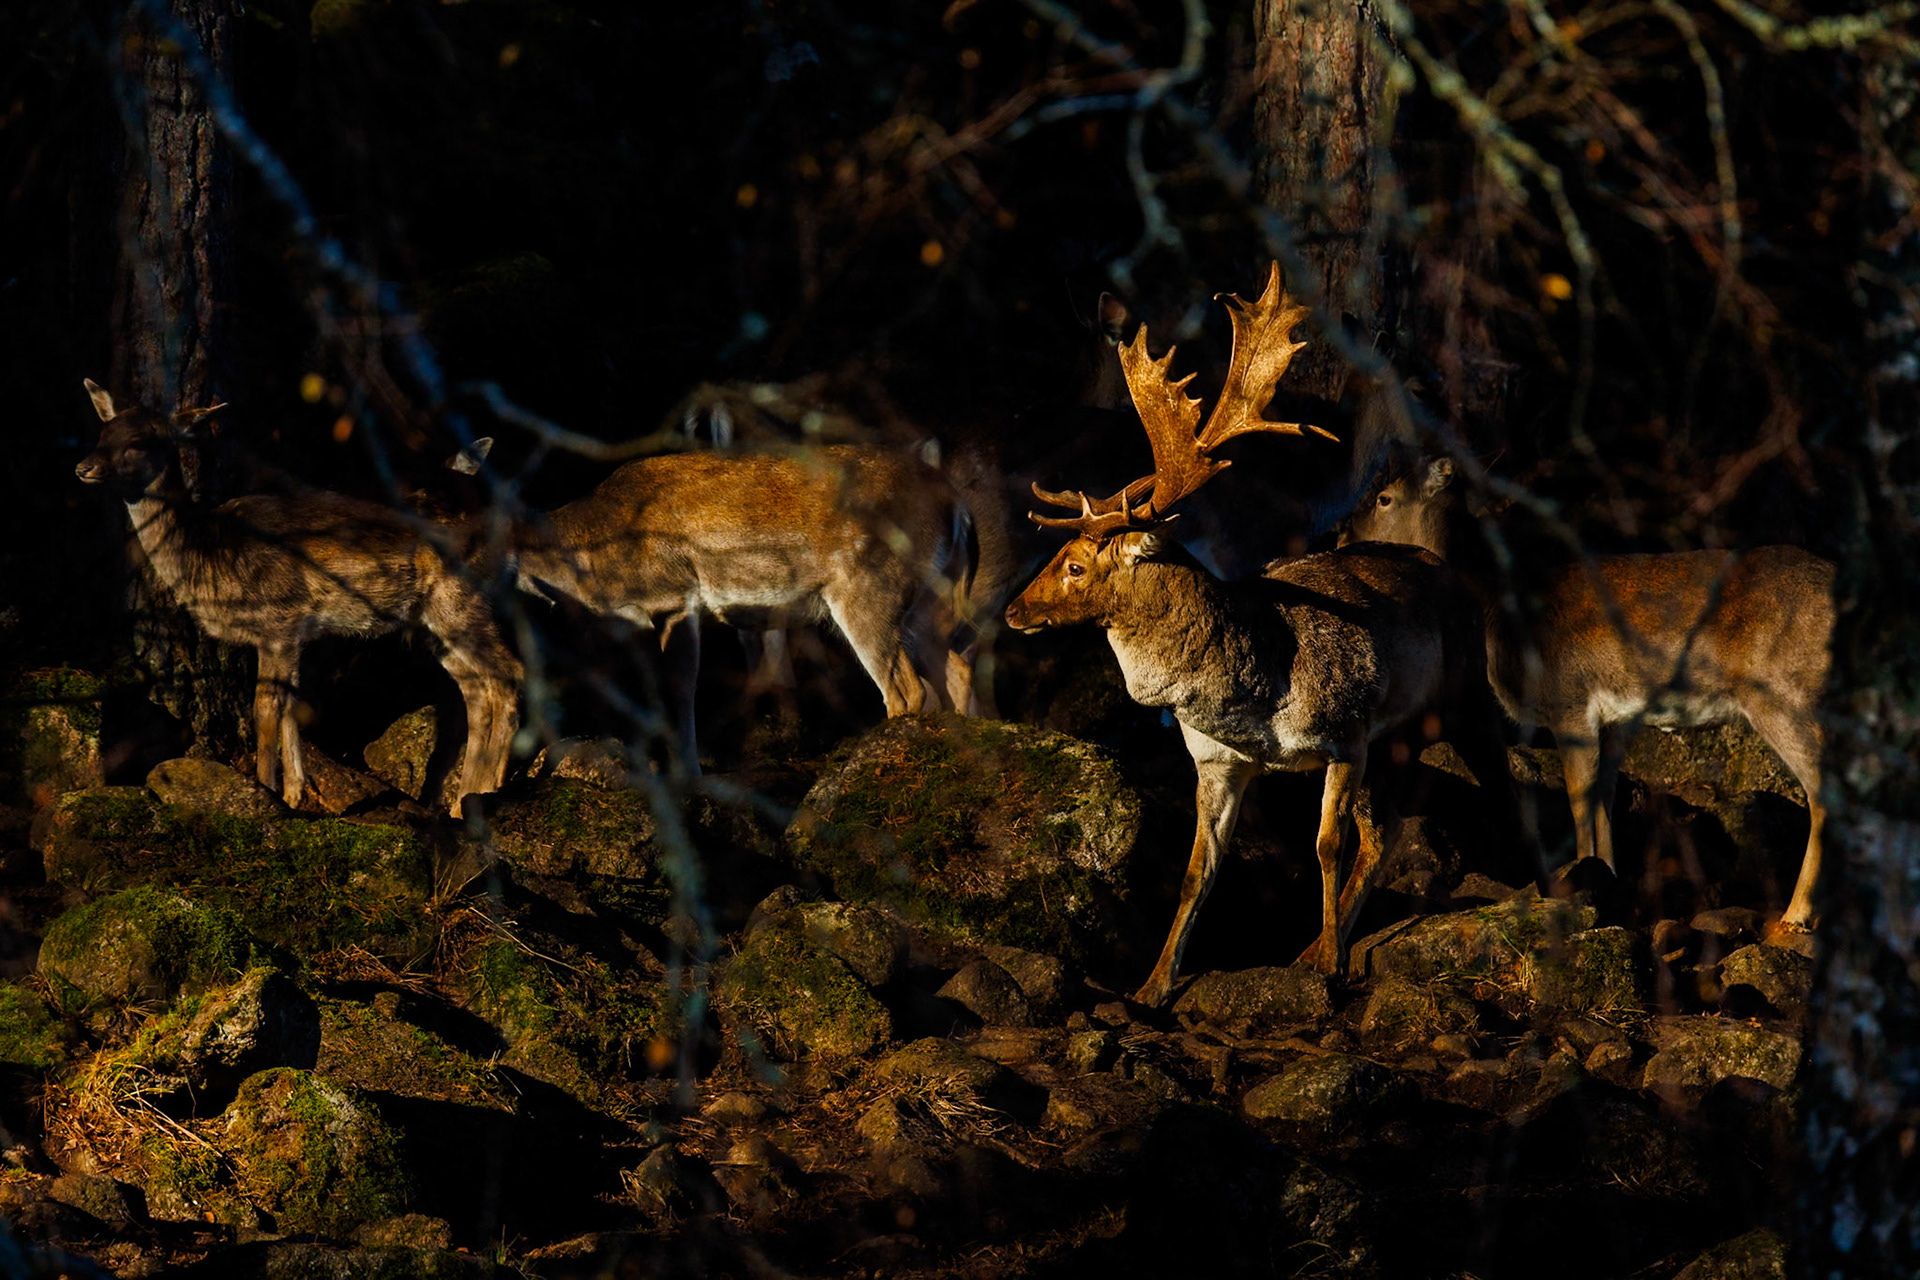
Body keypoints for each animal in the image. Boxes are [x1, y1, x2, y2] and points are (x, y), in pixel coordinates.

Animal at [74, 380, 522, 818]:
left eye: (138, 441)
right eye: (102, 433)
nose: (83, 467)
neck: (212, 554)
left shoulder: (278, 619)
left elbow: (265, 708)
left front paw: (267, 792)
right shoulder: (294, 633)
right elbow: (291, 705)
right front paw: (294, 793)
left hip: (461, 599)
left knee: (509, 674)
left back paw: (490, 791)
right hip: (432, 621)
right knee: (476, 691)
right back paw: (463, 802)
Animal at [510, 444, 977, 769]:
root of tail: (957, 503)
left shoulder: (673, 595)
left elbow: (681, 687)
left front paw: (689, 772)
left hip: (870, 586)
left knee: (908, 688)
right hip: (928, 599)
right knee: (955, 668)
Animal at [1004, 265, 1517, 1006]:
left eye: (1074, 564)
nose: (1015, 610)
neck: (1250, 690)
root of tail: (1447, 568)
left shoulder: (1345, 730)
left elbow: (1325, 846)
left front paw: (1333, 967)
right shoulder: (1217, 761)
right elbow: (1198, 870)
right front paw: (1153, 987)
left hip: (1466, 697)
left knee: (1499, 793)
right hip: (1396, 738)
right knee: (1388, 830)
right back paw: (1306, 949)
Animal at [1342, 452, 1834, 930]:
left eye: (1384, 498)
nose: (1344, 536)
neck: (1499, 611)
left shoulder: (1569, 703)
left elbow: (1579, 803)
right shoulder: (1615, 719)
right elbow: (1603, 803)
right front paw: (1609, 883)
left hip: (1783, 695)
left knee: (1822, 790)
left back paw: (1795, 916)